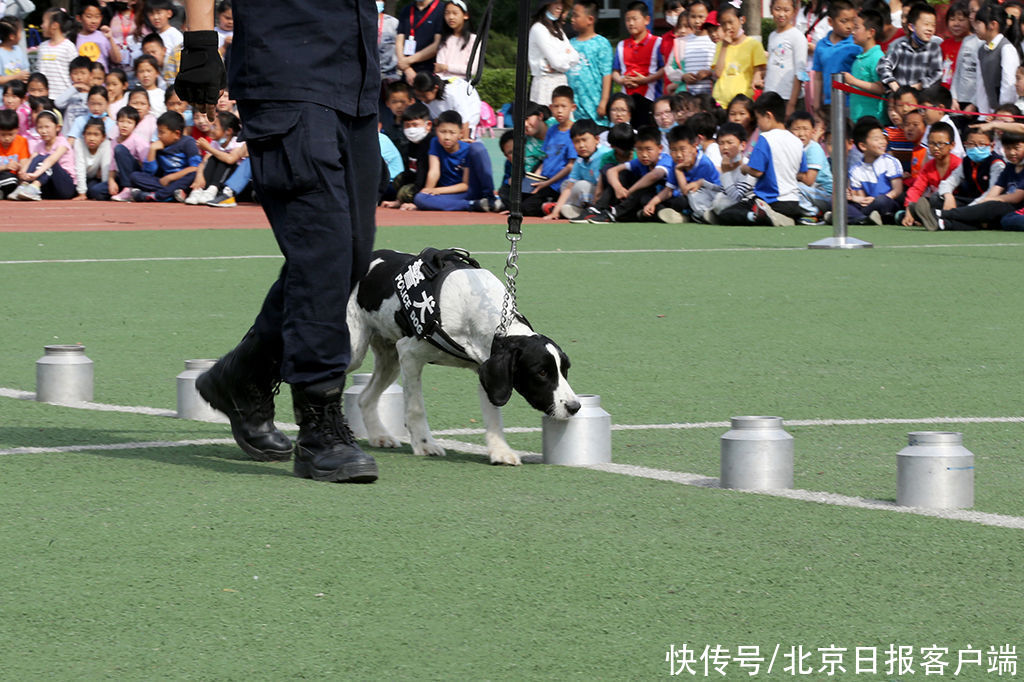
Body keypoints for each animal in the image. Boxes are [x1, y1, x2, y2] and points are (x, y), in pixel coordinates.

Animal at [348, 246, 581, 464]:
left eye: (565, 370)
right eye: (541, 372)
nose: (574, 407)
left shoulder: (486, 371)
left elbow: (493, 417)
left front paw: (500, 451)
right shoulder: (409, 355)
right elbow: (415, 408)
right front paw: (424, 444)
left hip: (390, 362)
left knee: (364, 398)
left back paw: (379, 435)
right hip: (357, 352)